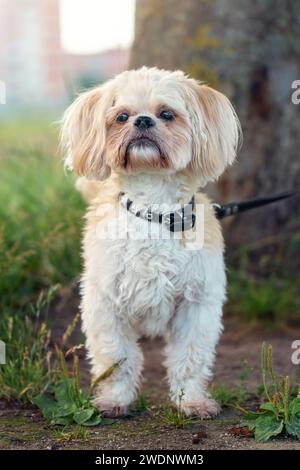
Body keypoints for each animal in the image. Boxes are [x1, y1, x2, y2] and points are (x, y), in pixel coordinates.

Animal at [61, 66, 241, 418]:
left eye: (167, 114)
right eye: (122, 116)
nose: (143, 121)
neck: (154, 211)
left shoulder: (196, 304)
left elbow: (190, 358)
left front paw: (191, 401)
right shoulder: (106, 305)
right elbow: (116, 358)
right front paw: (115, 400)